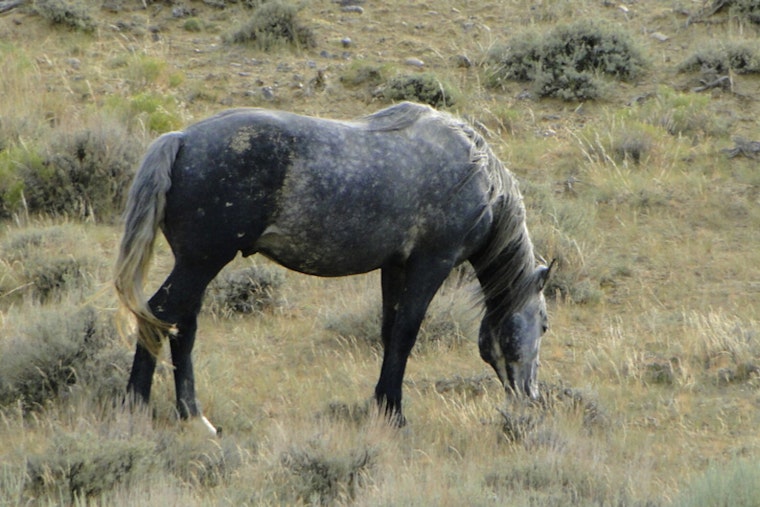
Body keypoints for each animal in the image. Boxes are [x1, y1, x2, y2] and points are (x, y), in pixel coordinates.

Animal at [114, 102, 554, 433]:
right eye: (545, 324)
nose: (531, 396)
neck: (475, 173)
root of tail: (181, 140)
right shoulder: (432, 263)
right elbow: (407, 333)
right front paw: (396, 416)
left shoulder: (395, 266)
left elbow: (390, 331)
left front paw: (383, 407)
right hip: (201, 262)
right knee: (160, 314)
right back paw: (140, 409)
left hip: (198, 265)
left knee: (182, 326)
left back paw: (193, 417)